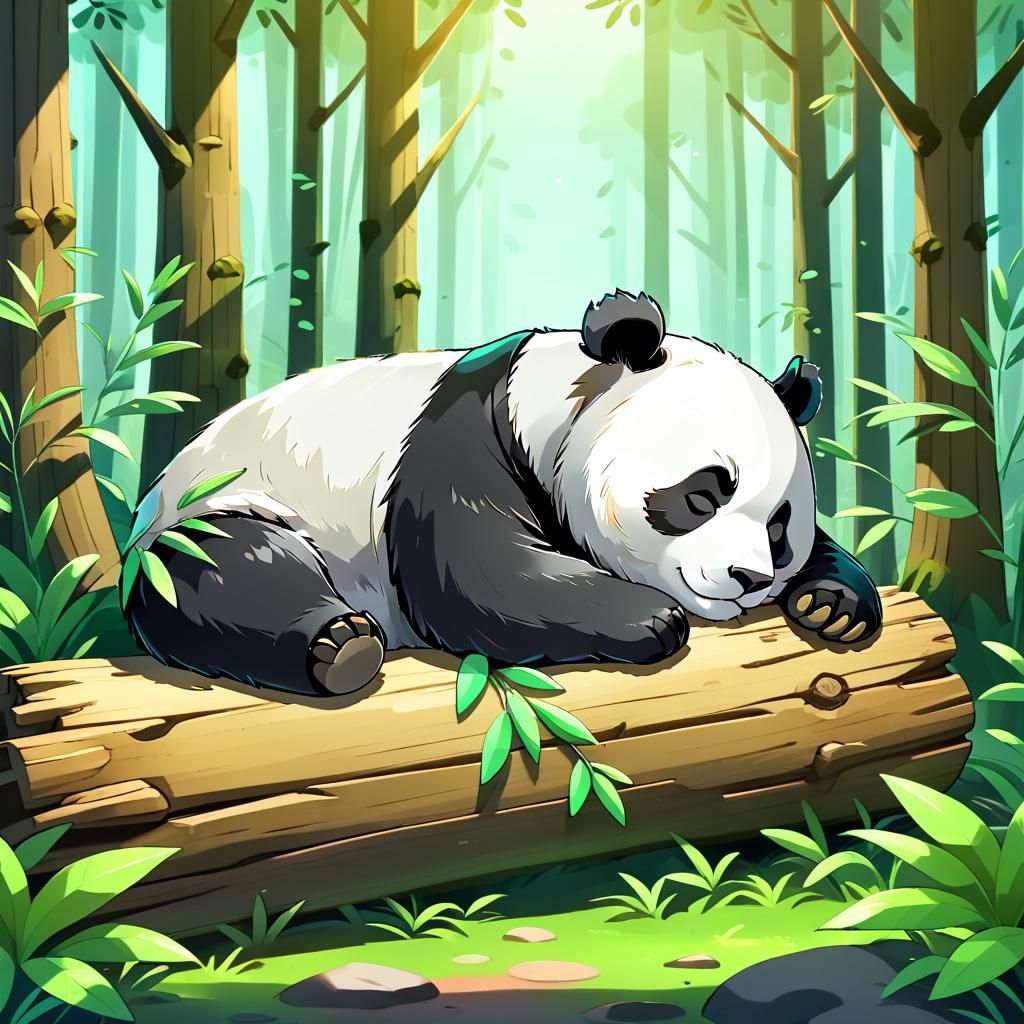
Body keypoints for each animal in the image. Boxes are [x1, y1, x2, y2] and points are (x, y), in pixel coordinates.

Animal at [125, 290, 882, 697]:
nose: (751, 579)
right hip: (218, 511)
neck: (550, 400)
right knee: (232, 573)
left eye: (779, 527)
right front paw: (648, 618)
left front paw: (833, 606)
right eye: (702, 496)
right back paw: (340, 645)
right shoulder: (456, 444)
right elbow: (476, 573)